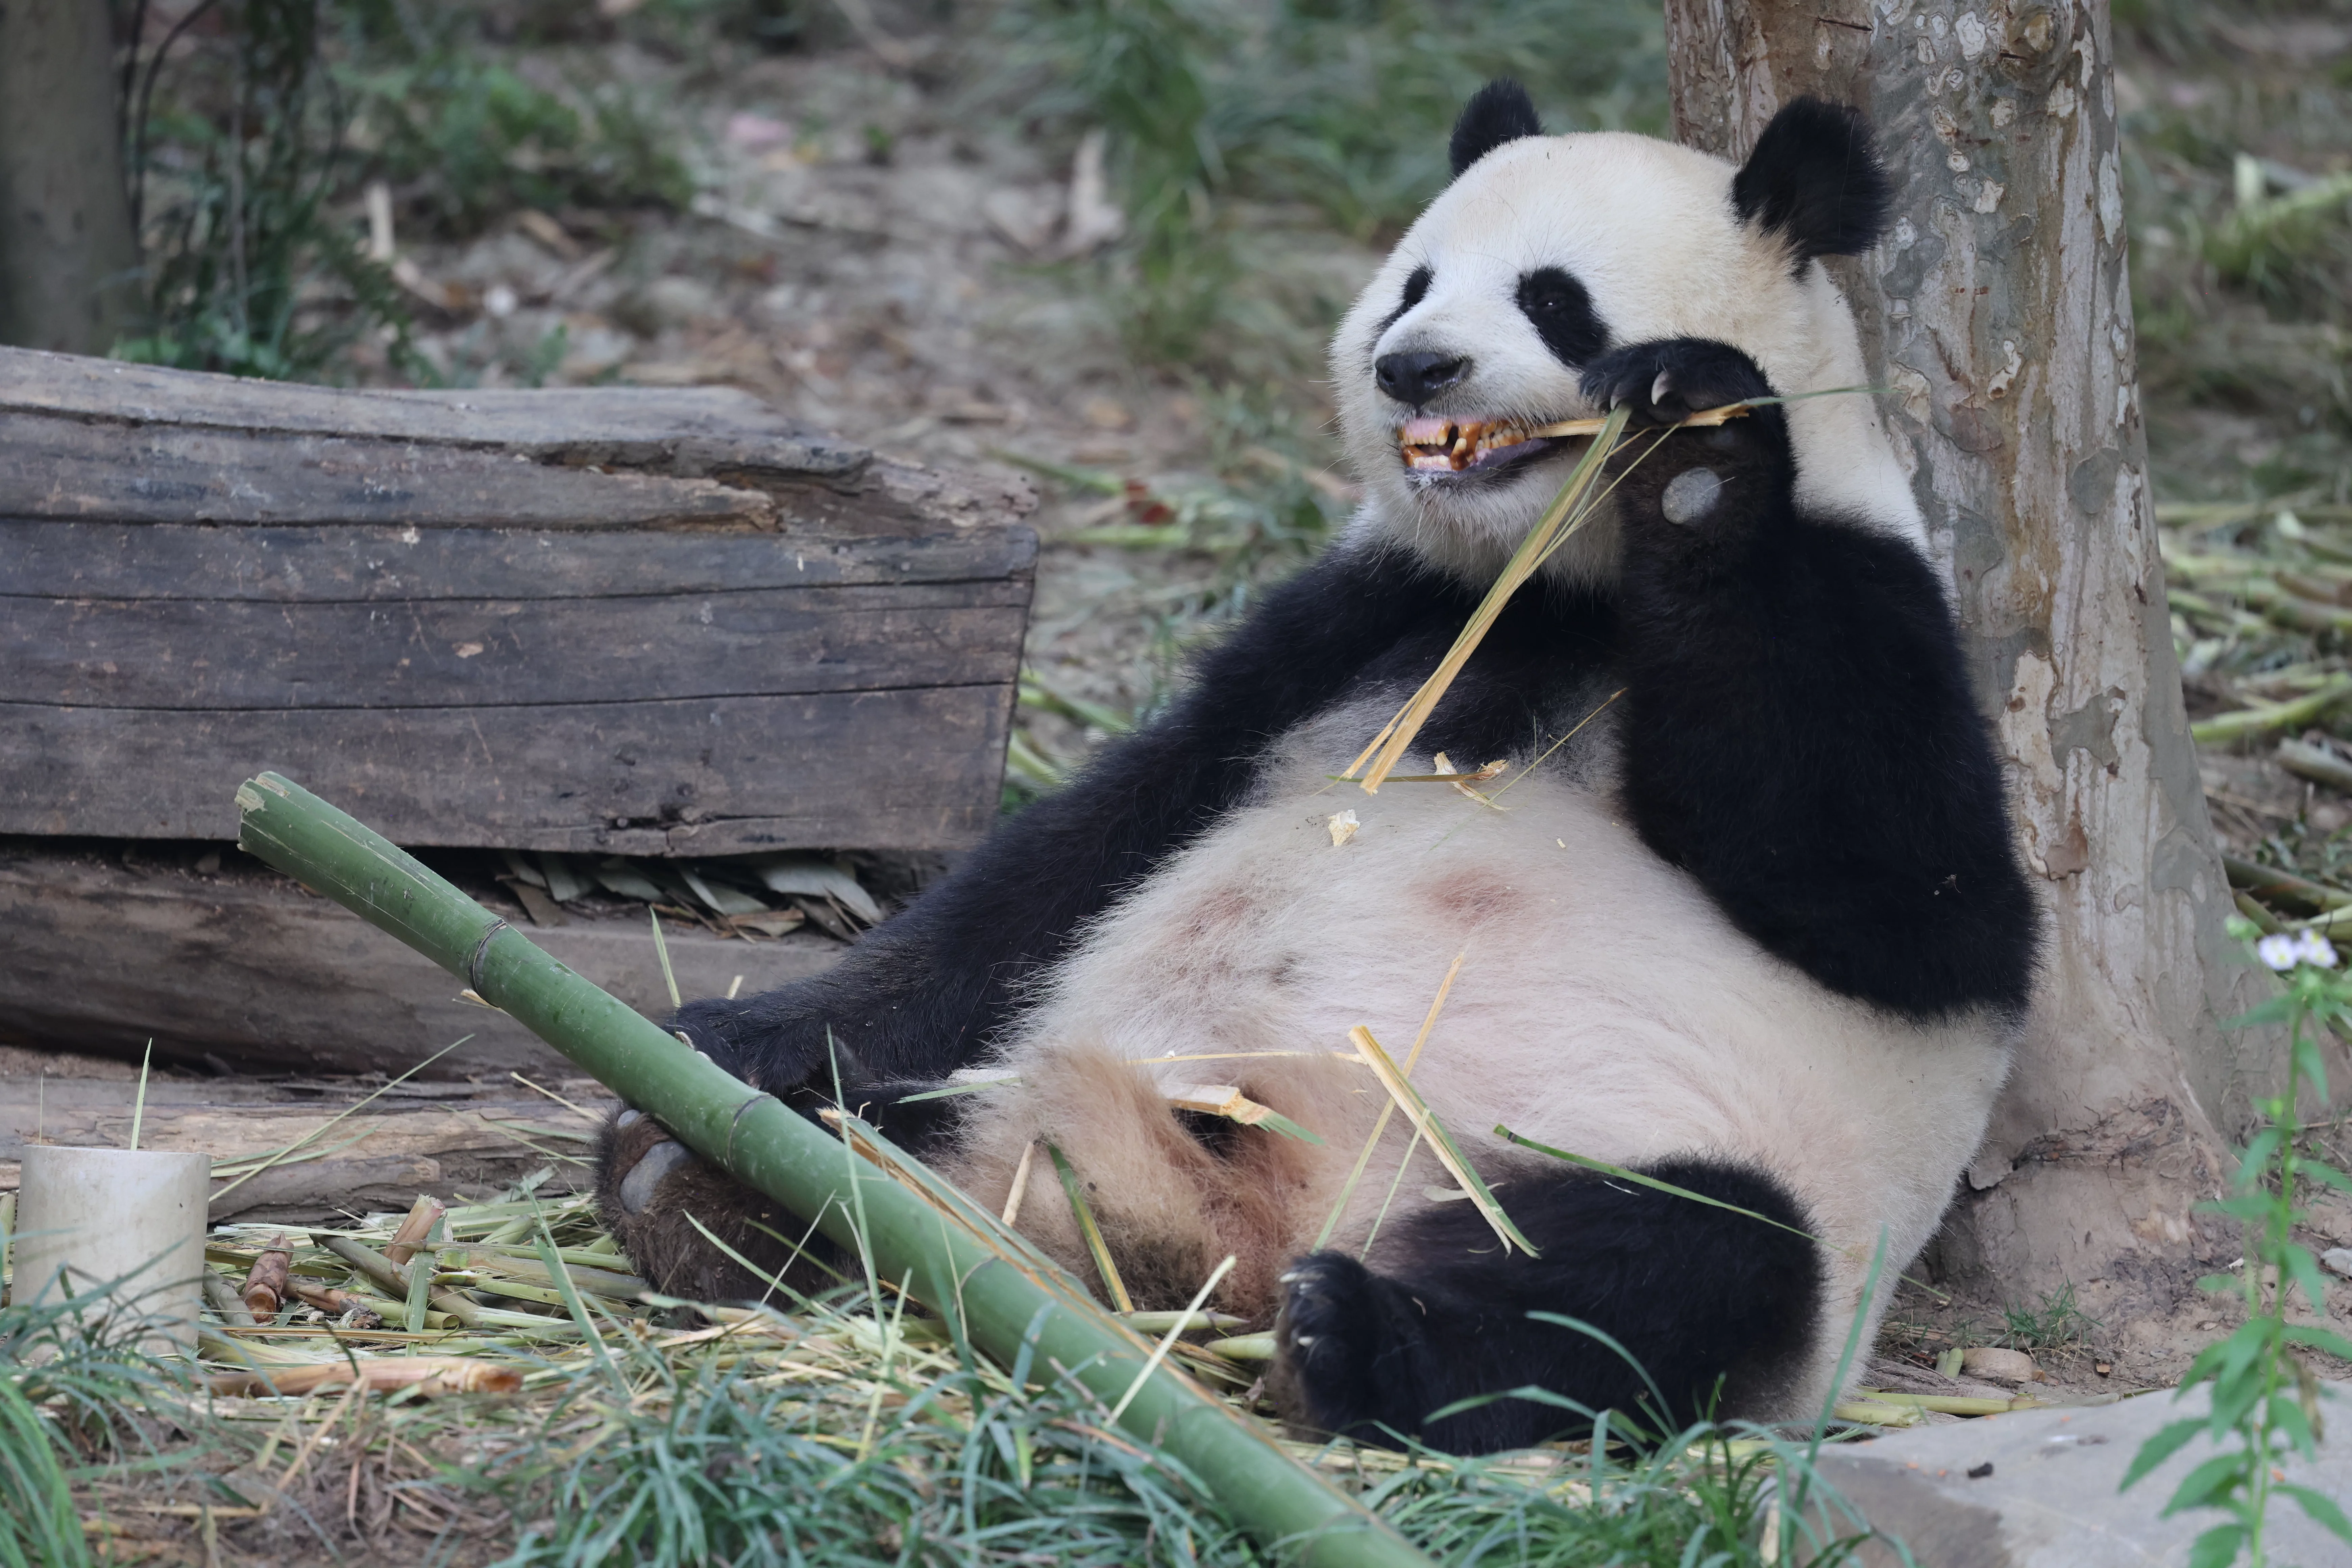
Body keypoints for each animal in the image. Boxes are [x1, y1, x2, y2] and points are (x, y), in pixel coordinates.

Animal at [598, 82, 2037, 1456]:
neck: (1557, 582)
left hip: (1627, 1158)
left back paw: (1362, 1339)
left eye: (1553, 299)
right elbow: (1089, 843)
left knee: (1674, 1262)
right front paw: (726, 1037)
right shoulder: (1372, 616)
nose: (1415, 366)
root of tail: (1247, 1228)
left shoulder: (1870, 596)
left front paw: (1692, 457)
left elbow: (1918, 910)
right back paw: (718, 1175)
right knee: (942, 1117)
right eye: (1413, 281)